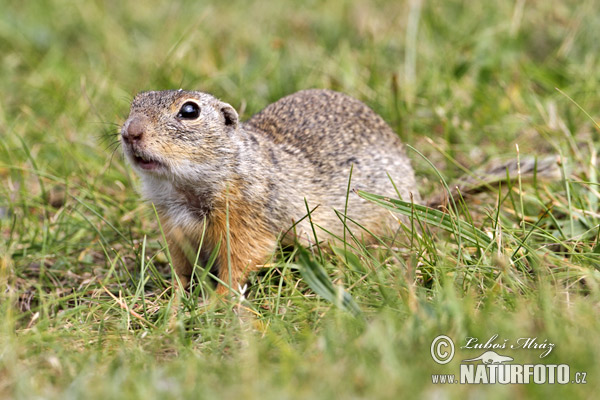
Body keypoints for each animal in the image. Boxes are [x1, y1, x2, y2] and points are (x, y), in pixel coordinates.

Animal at [119, 88, 556, 294]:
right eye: (134, 103)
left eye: (189, 111)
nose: (129, 132)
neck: (185, 190)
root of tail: (419, 203)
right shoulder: (174, 228)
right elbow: (181, 268)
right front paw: (175, 300)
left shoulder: (249, 221)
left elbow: (240, 264)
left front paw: (218, 304)